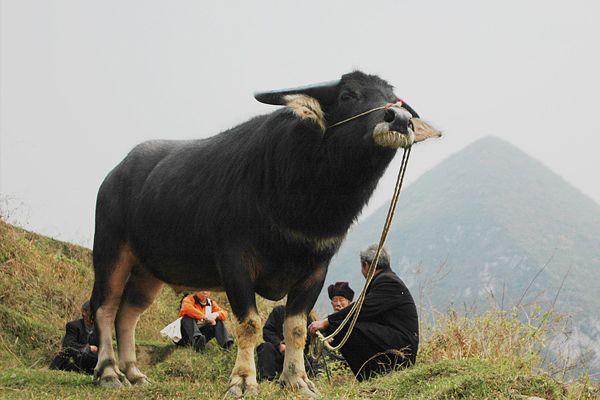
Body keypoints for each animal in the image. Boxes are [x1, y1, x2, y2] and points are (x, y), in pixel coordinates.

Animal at [89, 71, 438, 396]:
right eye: (348, 95)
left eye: (394, 99)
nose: (399, 119)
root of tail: (113, 176)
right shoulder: (235, 262)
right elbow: (249, 324)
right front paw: (243, 381)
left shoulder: (315, 270)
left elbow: (296, 329)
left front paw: (298, 381)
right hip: (110, 251)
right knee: (105, 309)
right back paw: (109, 373)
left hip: (148, 272)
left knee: (128, 315)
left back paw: (134, 374)